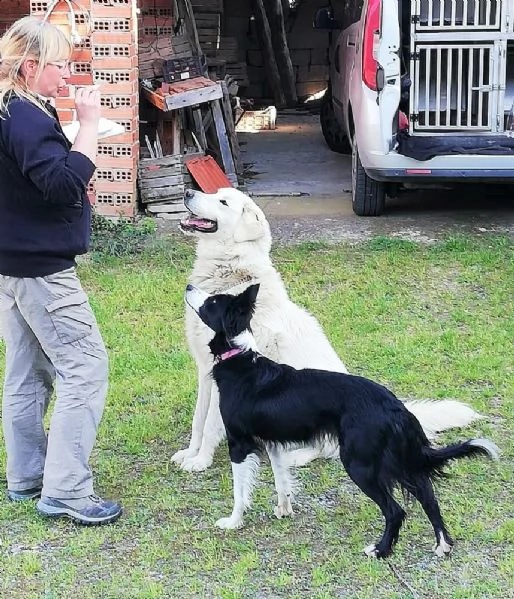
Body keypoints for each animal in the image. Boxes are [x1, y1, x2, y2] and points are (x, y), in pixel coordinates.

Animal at [172, 189, 480, 474]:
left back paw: (294, 457)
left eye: (223, 202)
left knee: (323, 448)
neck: (230, 276)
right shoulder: (205, 372)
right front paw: (190, 453)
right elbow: (198, 420)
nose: (187, 192)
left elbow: (210, 425)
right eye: (213, 193)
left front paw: (200, 461)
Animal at [184, 284, 496, 560]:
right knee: (428, 496)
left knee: (396, 510)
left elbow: (240, 490)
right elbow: (281, 480)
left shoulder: (239, 443)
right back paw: (442, 545)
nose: (188, 287)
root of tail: (396, 406)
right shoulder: (273, 442)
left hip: (360, 464)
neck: (241, 359)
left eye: (212, 301)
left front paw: (233, 522)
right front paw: (284, 509)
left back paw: (380, 551)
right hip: (396, 461)